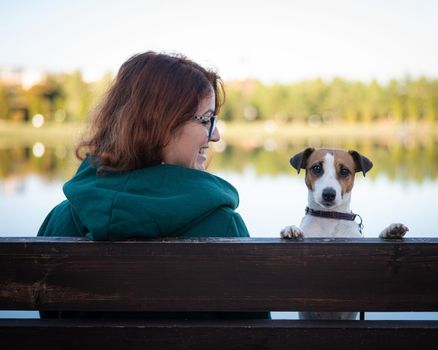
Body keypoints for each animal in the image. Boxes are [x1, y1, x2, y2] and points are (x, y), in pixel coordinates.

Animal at [280, 148, 408, 320]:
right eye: (316, 168)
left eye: (344, 171)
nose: (329, 194)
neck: (330, 217)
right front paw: (291, 229)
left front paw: (391, 231)